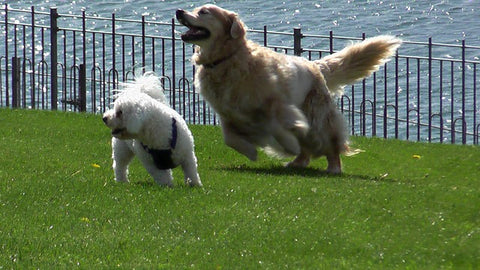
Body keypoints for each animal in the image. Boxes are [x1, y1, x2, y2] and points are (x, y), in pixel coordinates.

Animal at [176, 4, 402, 174]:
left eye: (204, 12)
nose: (179, 11)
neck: (226, 59)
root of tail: (315, 65)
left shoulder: (277, 104)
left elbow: (278, 127)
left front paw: (288, 145)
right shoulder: (227, 113)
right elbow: (229, 138)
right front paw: (251, 152)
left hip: (317, 115)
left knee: (329, 141)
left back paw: (333, 167)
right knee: (307, 147)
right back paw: (297, 163)